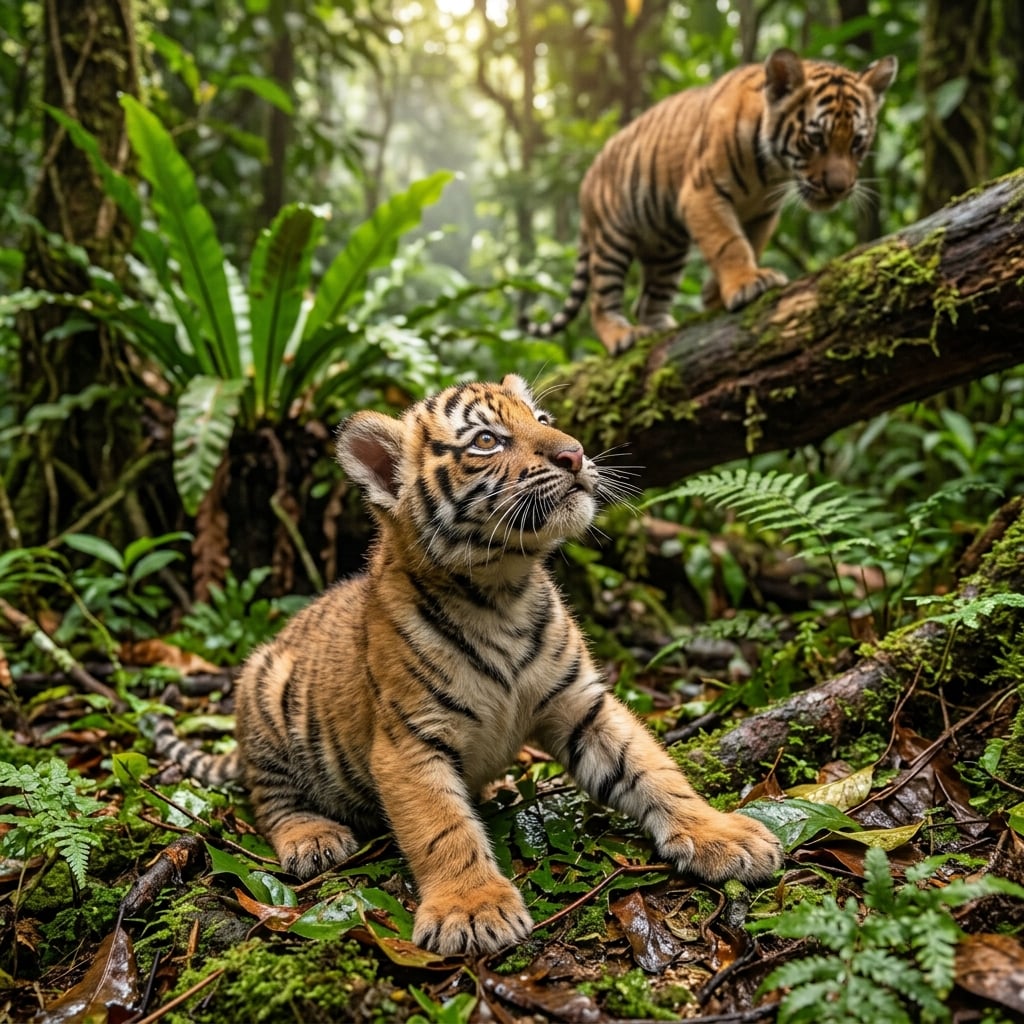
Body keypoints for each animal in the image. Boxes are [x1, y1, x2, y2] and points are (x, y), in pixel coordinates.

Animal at [152, 375, 783, 956]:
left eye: (543, 418)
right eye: (486, 440)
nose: (575, 453)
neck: (502, 591)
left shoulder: (581, 703)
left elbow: (653, 769)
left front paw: (720, 834)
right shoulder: (410, 740)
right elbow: (442, 828)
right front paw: (473, 908)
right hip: (263, 690)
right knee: (270, 798)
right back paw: (312, 838)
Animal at [521, 47, 898, 355]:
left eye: (857, 142)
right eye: (815, 139)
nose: (839, 188)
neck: (772, 171)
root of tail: (585, 179)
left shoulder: (762, 212)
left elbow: (751, 243)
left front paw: (716, 294)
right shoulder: (702, 195)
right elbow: (729, 242)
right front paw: (746, 283)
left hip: (667, 250)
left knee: (648, 302)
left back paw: (661, 328)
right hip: (613, 239)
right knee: (600, 301)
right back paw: (622, 335)